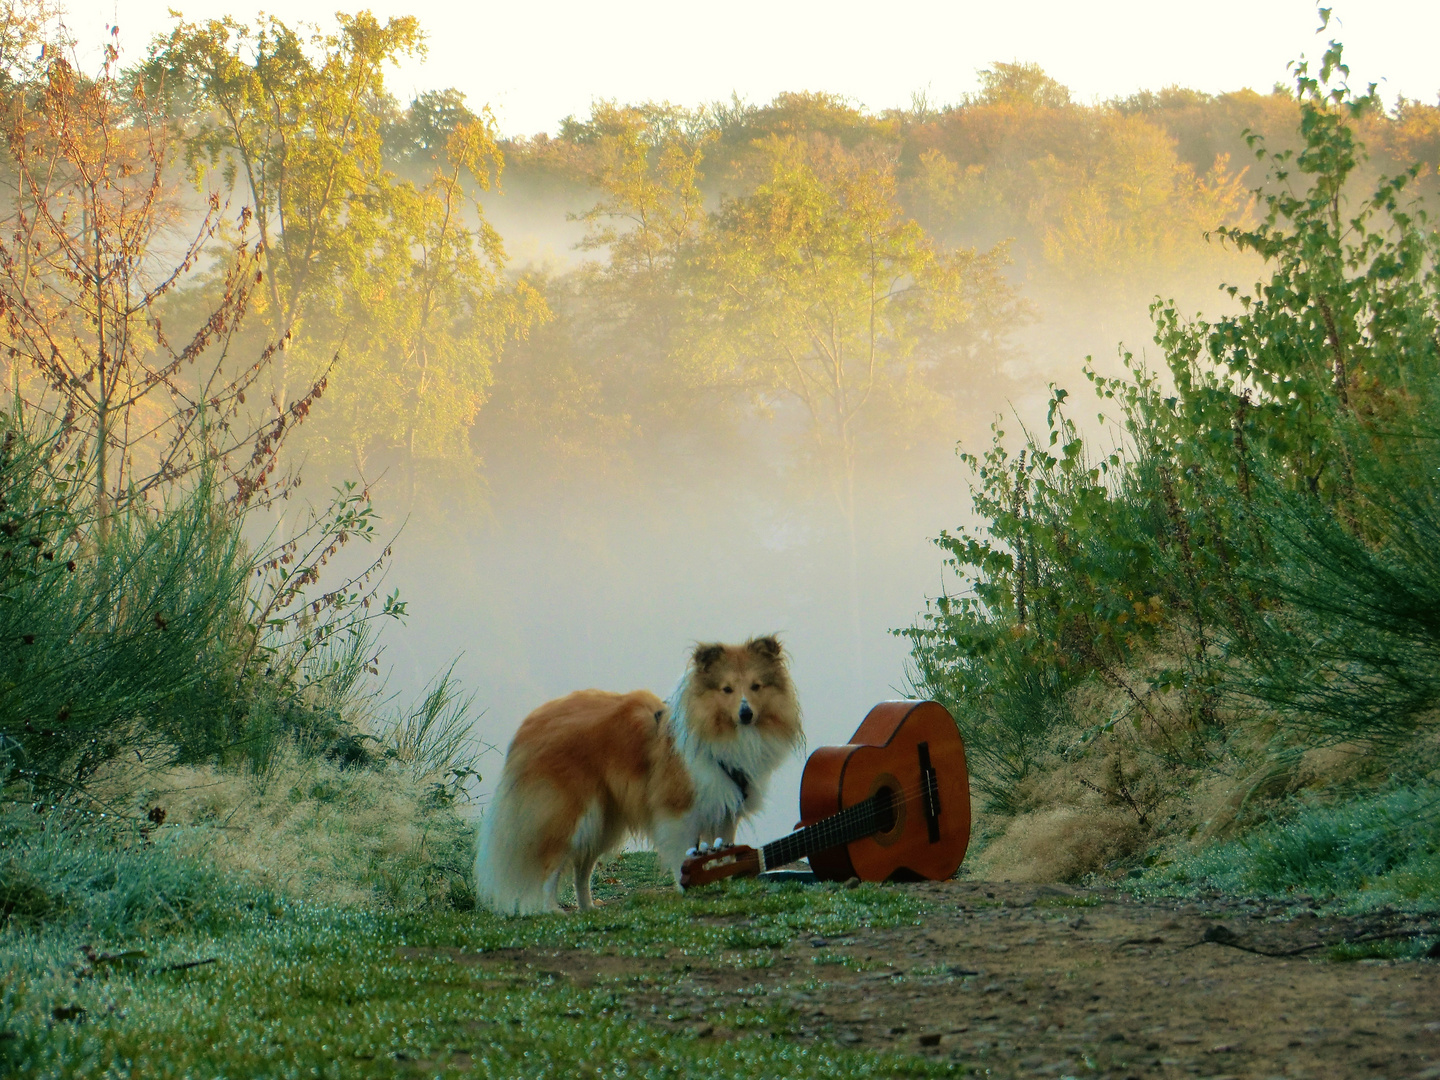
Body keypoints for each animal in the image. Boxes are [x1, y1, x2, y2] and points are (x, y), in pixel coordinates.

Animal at [475, 639, 806, 915]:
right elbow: (683, 856)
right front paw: (687, 889)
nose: (746, 714)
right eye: (727, 689)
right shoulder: (679, 811)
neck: (719, 733)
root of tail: (529, 726)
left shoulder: (725, 808)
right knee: (550, 865)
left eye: (756, 686)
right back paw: (551, 910)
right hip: (568, 816)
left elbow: (723, 851)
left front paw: (722, 880)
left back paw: (588, 907)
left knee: (582, 869)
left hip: (601, 822)